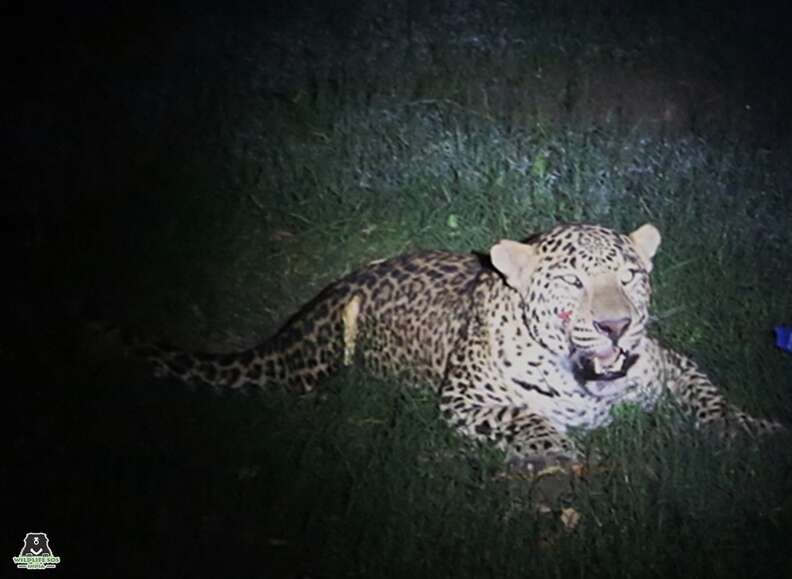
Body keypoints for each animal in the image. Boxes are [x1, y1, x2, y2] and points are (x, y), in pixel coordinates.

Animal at [140, 222, 785, 472]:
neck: (589, 385)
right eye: (572, 281)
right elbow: (523, 416)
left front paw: (749, 431)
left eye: (630, 276)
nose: (615, 326)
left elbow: (709, 397)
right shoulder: (464, 400)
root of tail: (331, 292)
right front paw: (554, 453)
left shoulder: (671, 363)